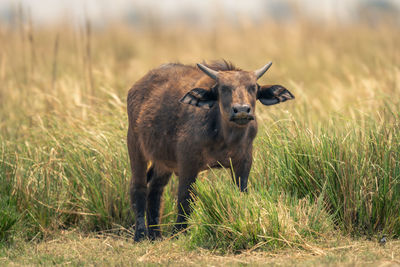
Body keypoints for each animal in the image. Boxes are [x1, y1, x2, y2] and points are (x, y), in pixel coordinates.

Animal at [127, 61, 294, 243]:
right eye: (223, 88)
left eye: (253, 87)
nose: (242, 110)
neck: (226, 139)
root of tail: (136, 87)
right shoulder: (187, 163)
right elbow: (185, 197)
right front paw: (179, 232)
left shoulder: (244, 162)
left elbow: (240, 193)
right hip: (135, 147)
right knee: (139, 188)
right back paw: (140, 234)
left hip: (163, 162)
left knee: (155, 190)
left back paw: (155, 234)